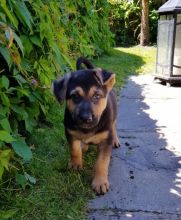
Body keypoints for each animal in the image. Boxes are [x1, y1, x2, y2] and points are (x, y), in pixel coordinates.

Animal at [52, 56, 120, 194]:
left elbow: (102, 163)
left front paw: (100, 182)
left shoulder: (106, 140)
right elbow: (74, 150)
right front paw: (75, 164)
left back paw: (115, 140)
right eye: (74, 96)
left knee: (114, 127)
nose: (85, 118)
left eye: (97, 96)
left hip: (114, 118)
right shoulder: (70, 133)